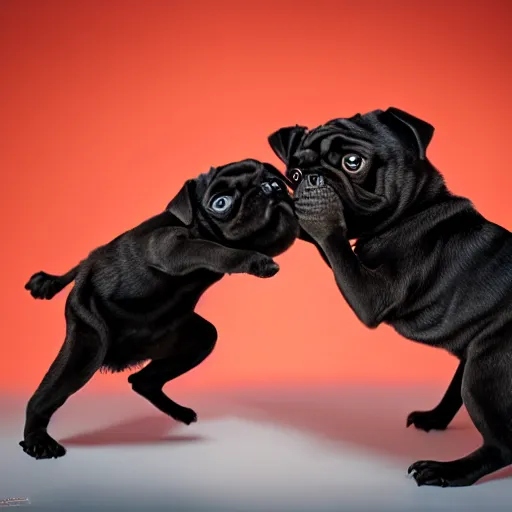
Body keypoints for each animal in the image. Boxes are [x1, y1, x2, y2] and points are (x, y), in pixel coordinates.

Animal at [21, 159, 300, 460]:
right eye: (221, 203)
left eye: (277, 180)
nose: (271, 188)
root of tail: (86, 264)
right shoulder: (171, 246)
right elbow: (216, 250)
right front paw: (256, 261)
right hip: (87, 346)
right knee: (45, 397)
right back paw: (38, 440)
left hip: (195, 339)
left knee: (142, 380)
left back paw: (178, 412)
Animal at [268, 109, 512, 488]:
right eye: (293, 173)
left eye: (353, 162)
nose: (311, 179)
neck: (414, 210)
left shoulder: (373, 295)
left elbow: (335, 245)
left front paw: (320, 215)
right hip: (474, 358)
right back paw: (434, 419)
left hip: (488, 369)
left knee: (502, 445)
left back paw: (448, 471)